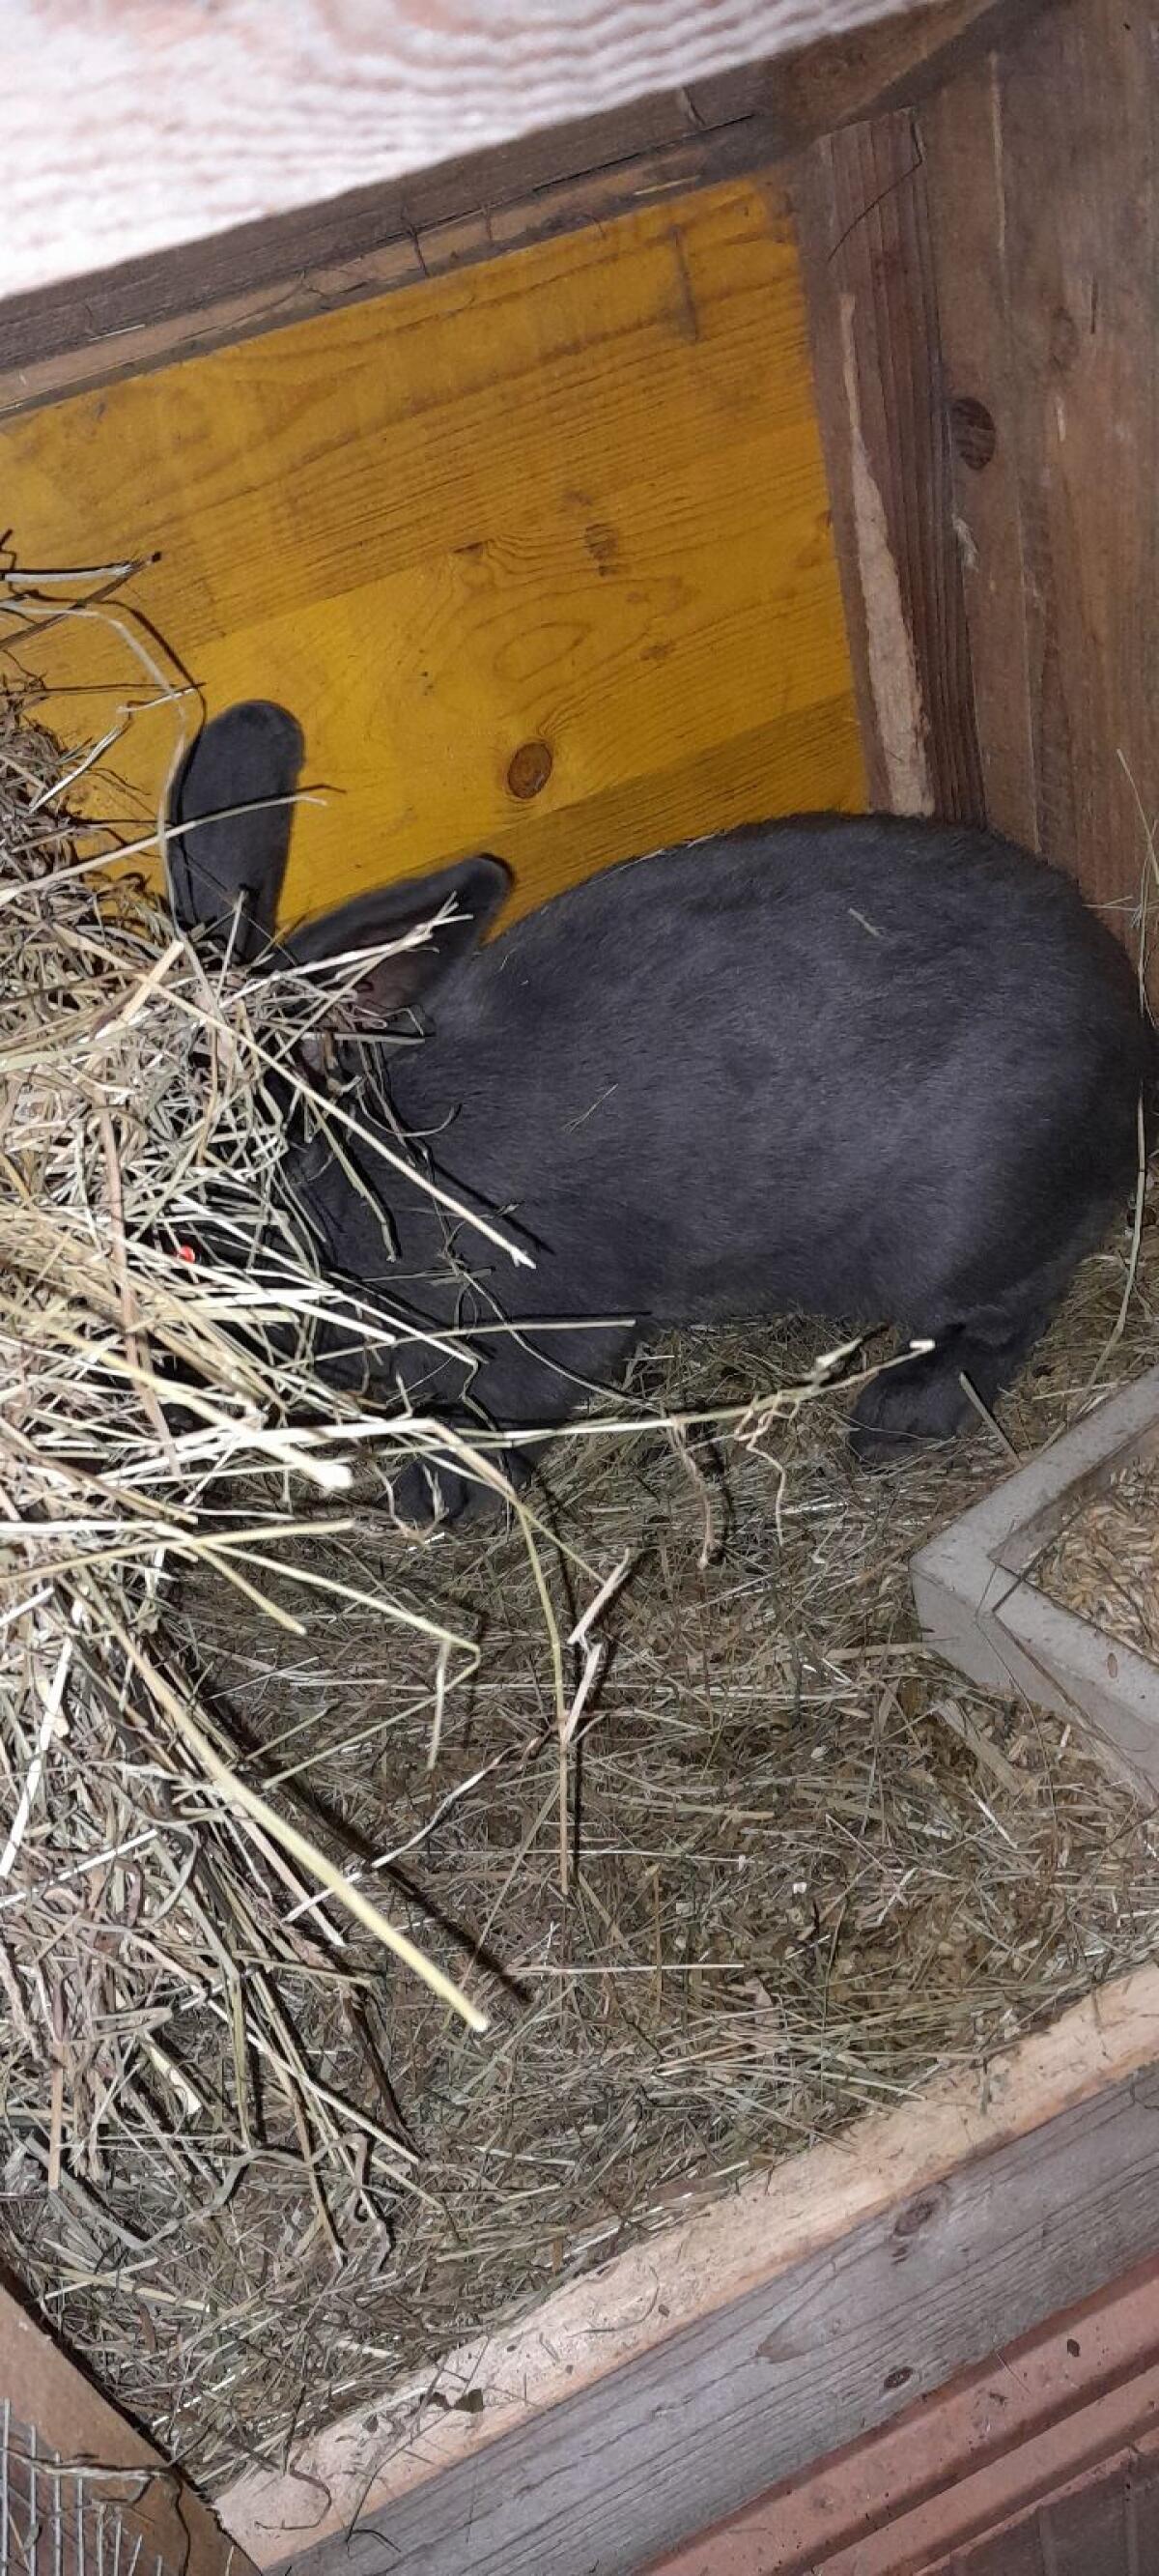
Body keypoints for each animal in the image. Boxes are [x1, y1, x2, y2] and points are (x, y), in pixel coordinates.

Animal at [167, 705, 1154, 1531]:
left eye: (186, 1244)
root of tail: (1129, 1035)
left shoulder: (543, 1330)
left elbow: (499, 1412)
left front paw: (434, 1501)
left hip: (957, 1241)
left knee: (1011, 1314)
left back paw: (898, 1417)